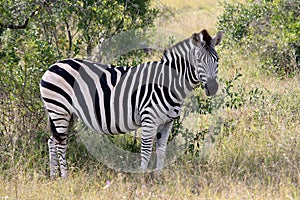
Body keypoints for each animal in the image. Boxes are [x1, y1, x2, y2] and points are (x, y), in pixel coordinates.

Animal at [39, 28, 223, 178]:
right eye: (198, 60)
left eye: (217, 59)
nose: (213, 88)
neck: (168, 83)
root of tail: (52, 66)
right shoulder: (149, 120)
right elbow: (146, 151)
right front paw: (142, 179)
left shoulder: (167, 123)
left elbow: (162, 150)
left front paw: (159, 177)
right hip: (59, 110)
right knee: (60, 143)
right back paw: (64, 178)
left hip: (67, 114)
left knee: (52, 141)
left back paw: (54, 177)